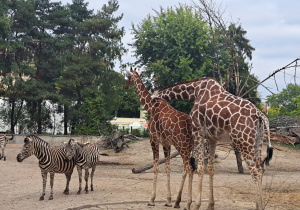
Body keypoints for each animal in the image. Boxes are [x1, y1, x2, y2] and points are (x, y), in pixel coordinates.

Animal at [124, 68, 195, 209]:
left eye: (128, 77)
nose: (125, 86)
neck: (151, 107)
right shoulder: (166, 143)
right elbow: (167, 168)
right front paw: (168, 200)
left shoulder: (153, 139)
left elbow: (156, 167)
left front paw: (151, 199)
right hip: (189, 146)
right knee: (189, 169)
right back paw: (179, 202)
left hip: (182, 145)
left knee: (189, 168)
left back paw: (186, 203)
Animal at [152, 77, 274, 210]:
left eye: (154, 102)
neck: (195, 91)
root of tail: (260, 115)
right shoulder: (212, 138)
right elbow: (210, 168)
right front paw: (210, 205)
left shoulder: (198, 132)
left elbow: (200, 168)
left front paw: (196, 205)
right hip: (258, 142)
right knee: (261, 169)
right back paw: (258, 205)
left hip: (244, 142)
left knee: (255, 172)